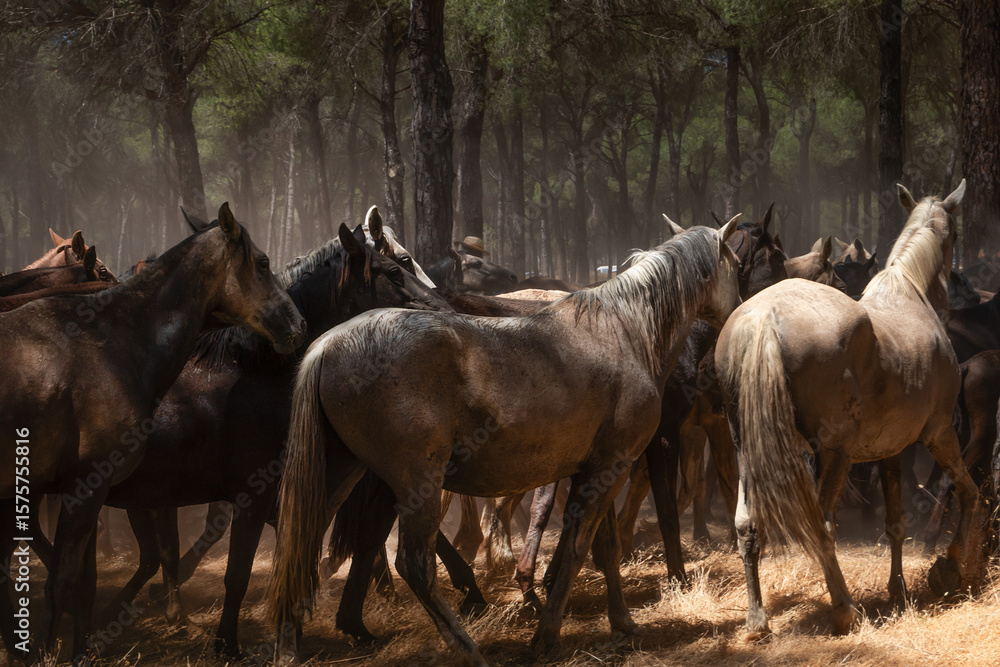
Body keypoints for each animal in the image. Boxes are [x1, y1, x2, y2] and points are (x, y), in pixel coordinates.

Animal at [0, 202, 305, 662]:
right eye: (264, 262)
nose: (297, 323)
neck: (113, 345)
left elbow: (84, 579)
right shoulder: (85, 489)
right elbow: (64, 579)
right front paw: (49, 653)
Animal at [99, 221, 450, 657]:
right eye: (395, 270)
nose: (446, 312)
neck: (261, 373)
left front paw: (289, 638)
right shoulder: (253, 498)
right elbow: (238, 574)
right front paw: (229, 645)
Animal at [268, 221, 742, 665]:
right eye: (737, 264)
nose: (737, 313)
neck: (625, 331)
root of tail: (327, 345)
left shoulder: (596, 469)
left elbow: (604, 549)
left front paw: (623, 625)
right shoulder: (612, 466)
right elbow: (577, 550)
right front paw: (546, 637)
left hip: (338, 473)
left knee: (299, 541)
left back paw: (288, 643)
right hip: (417, 485)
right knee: (414, 565)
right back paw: (466, 646)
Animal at [715, 180, 977, 636]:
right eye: (956, 236)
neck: (909, 293)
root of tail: (764, 315)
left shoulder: (891, 451)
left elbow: (896, 523)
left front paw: (898, 588)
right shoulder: (939, 434)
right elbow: (968, 491)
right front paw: (949, 565)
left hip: (747, 448)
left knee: (747, 525)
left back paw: (757, 618)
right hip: (834, 454)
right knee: (821, 524)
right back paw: (844, 608)